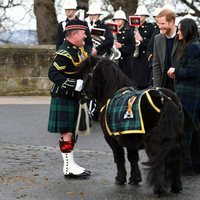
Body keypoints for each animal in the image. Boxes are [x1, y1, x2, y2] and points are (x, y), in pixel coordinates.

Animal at [79, 55, 184, 196]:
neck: (112, 92)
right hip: (175, 139)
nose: (80, 95)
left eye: (85, 74)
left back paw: (159, 189)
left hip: (153, 141)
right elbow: (133, 157)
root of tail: (165, 99)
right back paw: (176, 186)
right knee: (175, 159)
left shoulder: (112, 138)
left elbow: (119, 157)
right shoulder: (130, 136)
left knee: (158, 159)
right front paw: (135, 179)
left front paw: (120, 179)